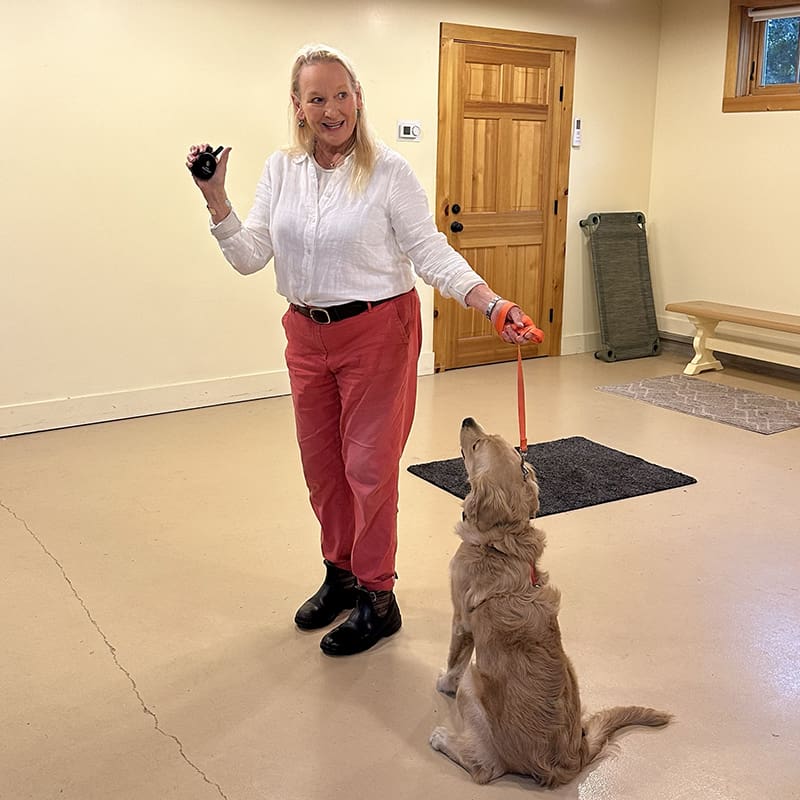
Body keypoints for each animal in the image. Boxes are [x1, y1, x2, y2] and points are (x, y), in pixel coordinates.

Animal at [432, 418, 668, 788]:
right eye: (501, 442)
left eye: (477, 445)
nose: (468, 420)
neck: (501, 541)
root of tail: (569, 760)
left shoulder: (461, 621)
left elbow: (454, 661)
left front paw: (443, 683)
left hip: (474, 684)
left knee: (485, 767)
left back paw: (443, 738)